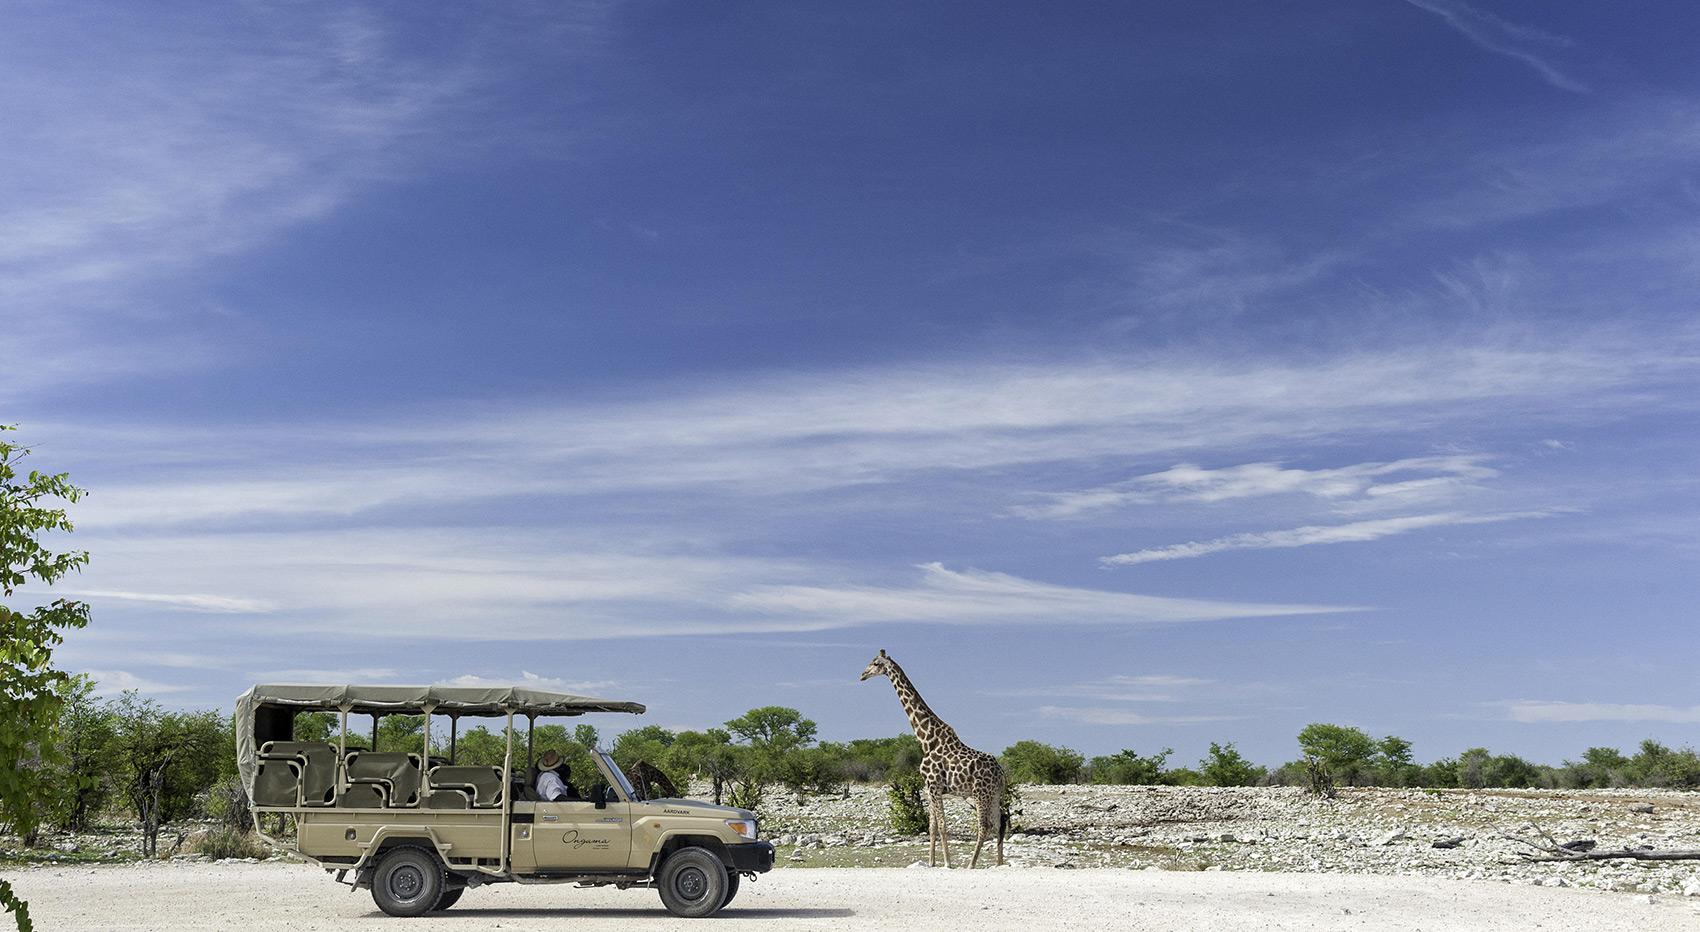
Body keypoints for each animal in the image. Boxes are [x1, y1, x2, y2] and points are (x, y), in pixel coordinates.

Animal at [860, 649, 1006, 868]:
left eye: (876, 663)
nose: (862, 675)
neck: (926, 739)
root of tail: (1001, 773)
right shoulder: (929, 788)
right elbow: (933, 826)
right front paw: (931, 862)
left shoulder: (935, 785)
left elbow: (943, 825)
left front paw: (947, 863)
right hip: (995, 794)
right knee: (999, 824)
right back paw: (998, 863)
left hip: (981, 793)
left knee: (985, 826)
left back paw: (971, 864)